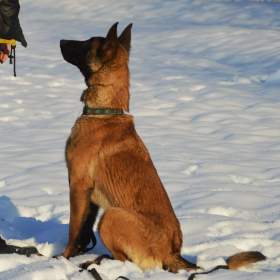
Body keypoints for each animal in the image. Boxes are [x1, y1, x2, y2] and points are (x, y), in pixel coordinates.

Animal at [59, 23, 266, 274]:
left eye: (86, 43)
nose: (60, 41)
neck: (105, 110)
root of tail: (173, 252)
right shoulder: (90, 196)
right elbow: (82, 233)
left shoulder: (78, 186)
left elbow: (73, 231)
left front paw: (62, 259)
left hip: (111, 215)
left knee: (125, 260)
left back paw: (96, 262)